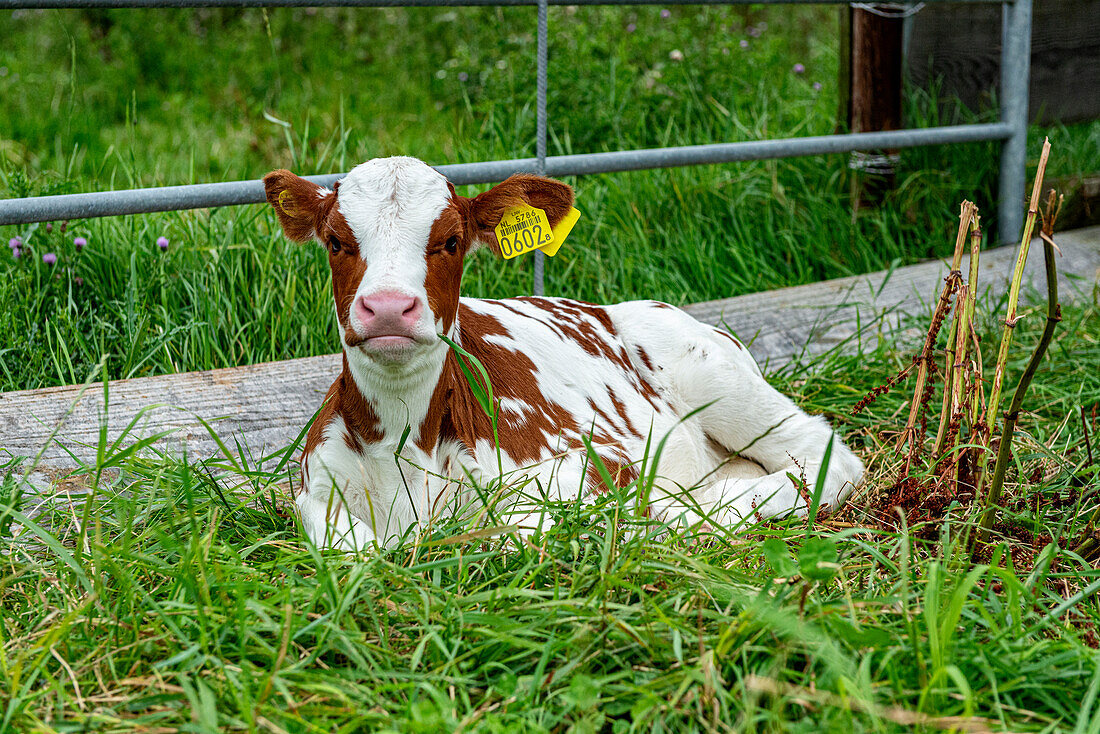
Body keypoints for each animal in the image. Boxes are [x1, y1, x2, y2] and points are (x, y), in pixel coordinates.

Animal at [264, 156, 858, 550]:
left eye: (450, 241)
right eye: (336, 241)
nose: (388, 307)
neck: (401, 449)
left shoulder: (587, 468)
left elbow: (518, 530)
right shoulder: (316, 490)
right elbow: (350, 545)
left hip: (718, 377)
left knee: (823, 454)